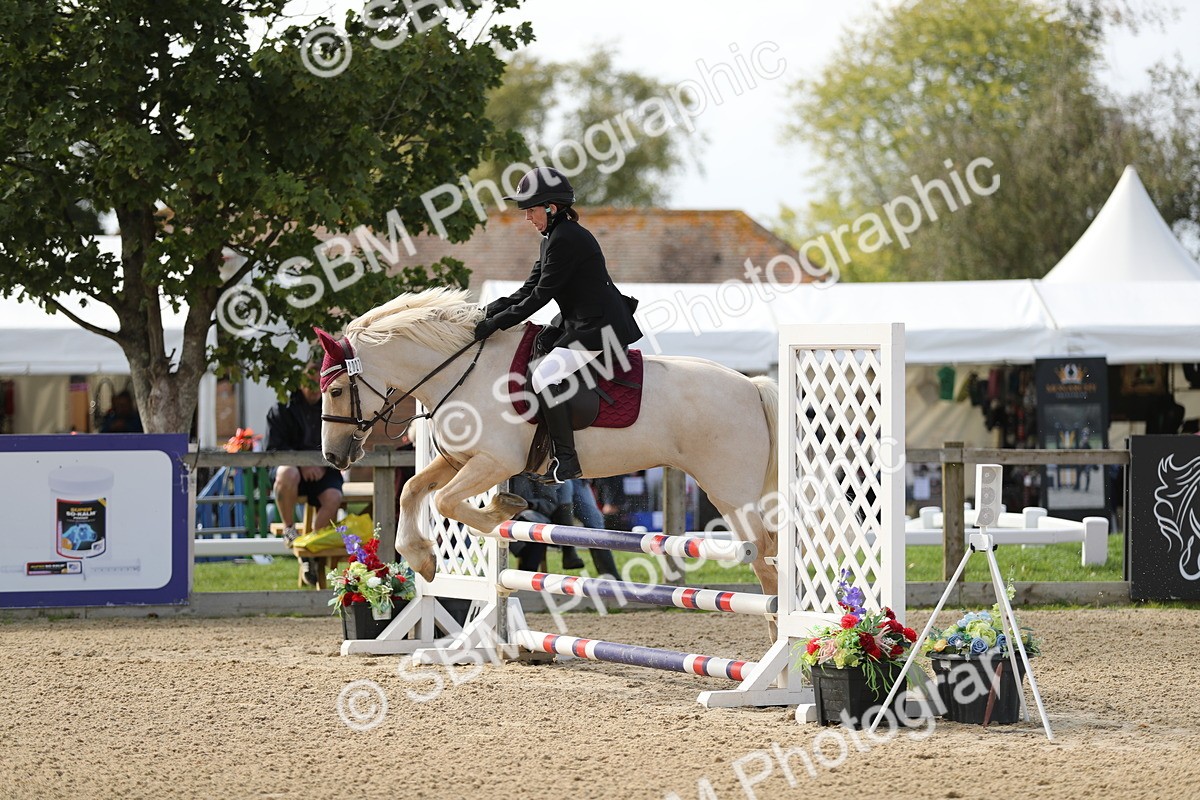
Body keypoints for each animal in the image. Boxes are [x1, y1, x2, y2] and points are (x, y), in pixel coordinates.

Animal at [318, 287, 780, 600]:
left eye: (337, 390)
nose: (333, 456)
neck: (464, 371)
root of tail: (752, 387)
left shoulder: (495, 462)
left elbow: (448, 502)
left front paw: (501, 510)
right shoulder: (460, 459)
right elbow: (414, 491)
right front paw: (422, 558)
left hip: (731, 493)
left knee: (765, 560)